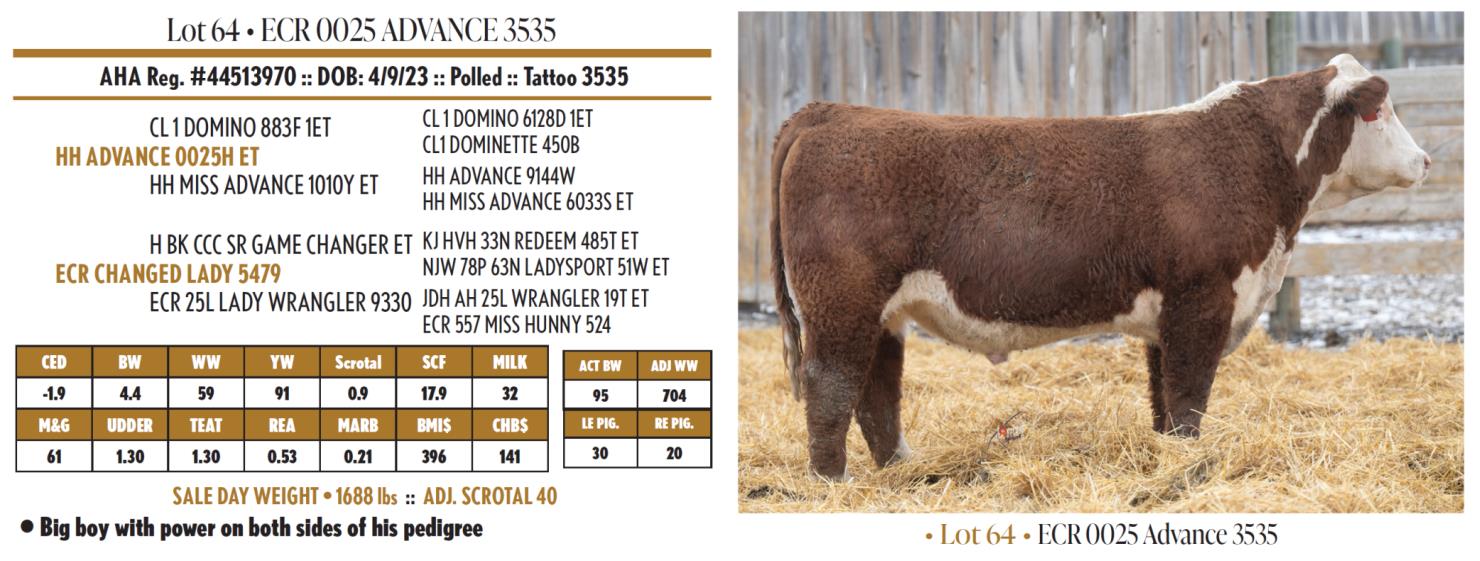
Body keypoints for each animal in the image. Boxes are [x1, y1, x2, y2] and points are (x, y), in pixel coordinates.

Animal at [770, 54, 1430, 481]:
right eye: (1380, 112)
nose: (1425, 160)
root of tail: (831, 112)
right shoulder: (1203, 297)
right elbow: (1189, 392)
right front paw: (1190, 464)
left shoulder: (1171, 311)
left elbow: (1164, 396)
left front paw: (1168, 458)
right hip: (841, 300)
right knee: (831, 384)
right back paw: (833, 482)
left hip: (880, 311)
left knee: (875, 389)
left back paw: (901, 469)